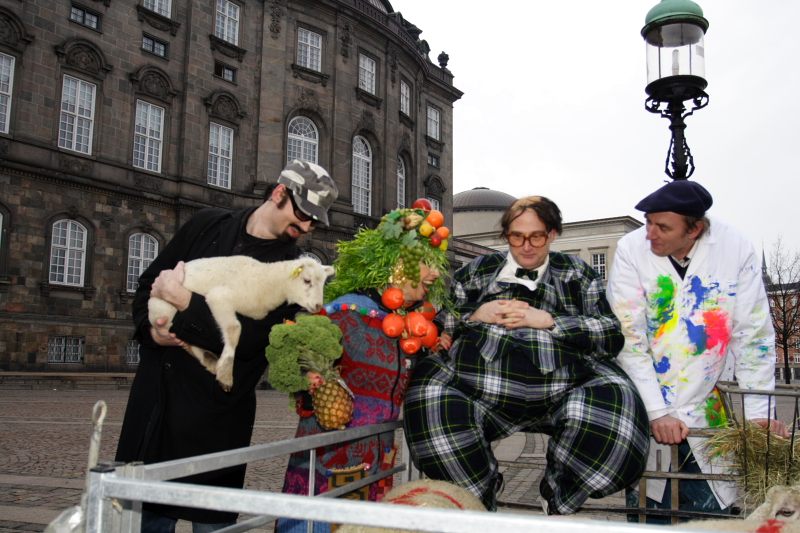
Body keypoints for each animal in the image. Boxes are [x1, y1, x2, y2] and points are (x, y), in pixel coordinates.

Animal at [148, 256, 332, 390]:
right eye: (307, 280)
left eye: (324, 283)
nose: (318, 306)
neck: (267, 281)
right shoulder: (219, 297)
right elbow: (234, 328)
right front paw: (226, 373)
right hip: (165, 312)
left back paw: (209, 359)